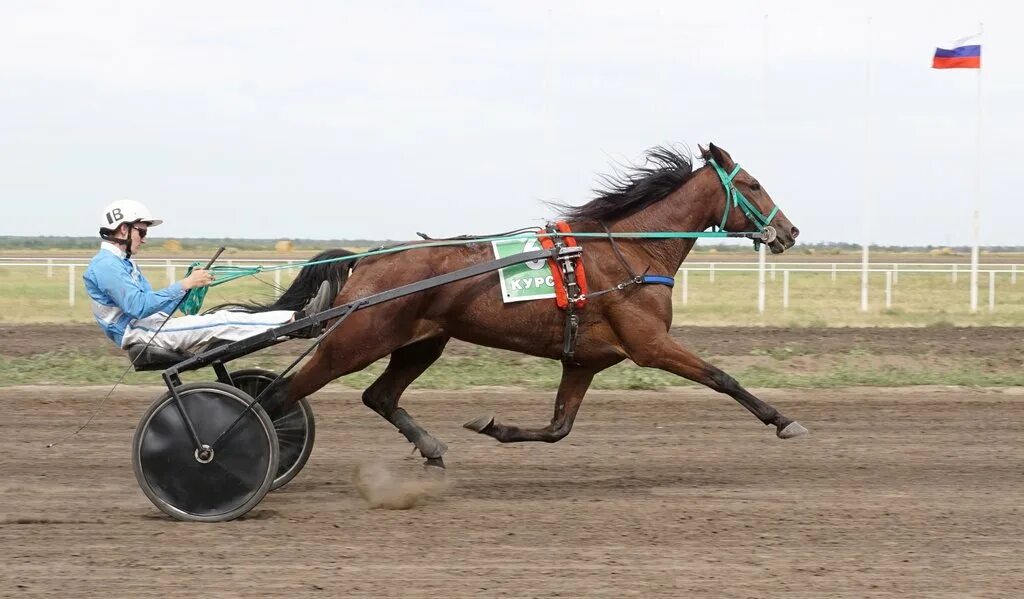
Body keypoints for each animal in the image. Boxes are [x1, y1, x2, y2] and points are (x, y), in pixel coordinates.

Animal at [264, 143, 806, 466]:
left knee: (378, 396)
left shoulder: (585, 360)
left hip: (421, 343)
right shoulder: (650, 345)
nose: (790, 230)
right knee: (278, 396)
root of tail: (370, 257)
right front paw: (784, 421)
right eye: (753, 184)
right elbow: (723, 378)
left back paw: (432, 448)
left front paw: (492, 426)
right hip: (355, 341)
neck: (630, 251)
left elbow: (557, 427)